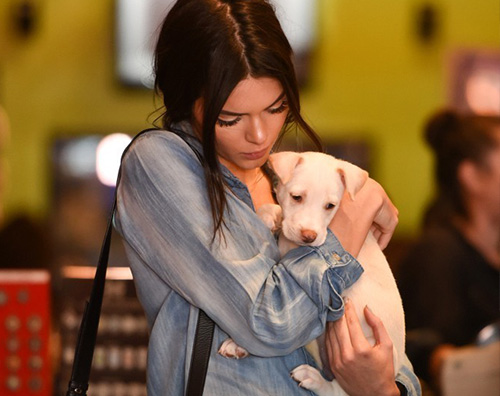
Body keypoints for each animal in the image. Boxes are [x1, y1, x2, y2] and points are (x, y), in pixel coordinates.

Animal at [219, 150, 406, 394]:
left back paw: (314, 378)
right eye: (297, 197)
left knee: (338, 389)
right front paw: (268, 216)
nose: (309, 236)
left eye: (330, 205)